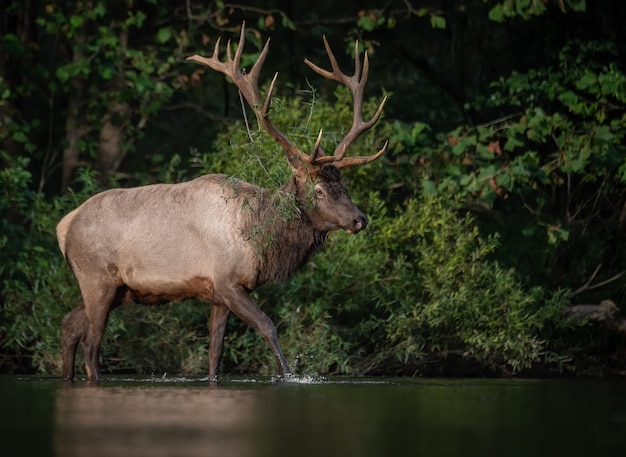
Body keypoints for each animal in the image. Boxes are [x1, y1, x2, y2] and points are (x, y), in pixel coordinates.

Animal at [57, 24, 386, 382]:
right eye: (319, 190)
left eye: (344, 185)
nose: (359, 219)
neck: (258, 237)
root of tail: (64, 226)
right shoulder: (228, 281)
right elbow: (268, 327)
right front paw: (289, 375)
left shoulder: (218, 294)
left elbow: (215, 354)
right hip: (97, 278)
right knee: (91, 342)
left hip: (115, 288)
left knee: (68, 326)